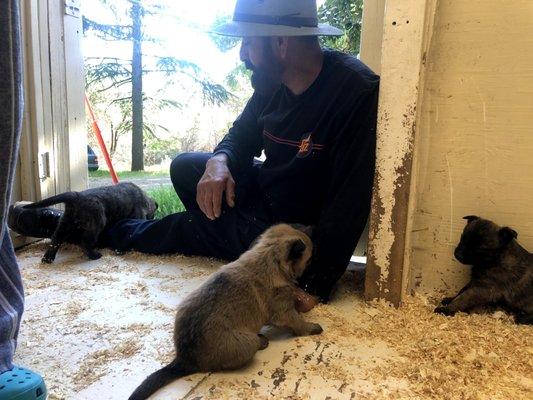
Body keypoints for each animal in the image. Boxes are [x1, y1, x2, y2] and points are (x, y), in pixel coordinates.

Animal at [23, 181, 156, 262]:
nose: (152, 217)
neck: (145, 200)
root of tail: (76, 196)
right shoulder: (139, 214)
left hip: (65, 223)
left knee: (56, 239)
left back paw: (48, 258)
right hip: (96, 223)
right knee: (84, 242)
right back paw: (94, 255)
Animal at [129, 225, 322, 400]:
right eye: (310, 260)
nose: (313, 278)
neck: (269, 257)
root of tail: (184, 359)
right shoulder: (284, 312)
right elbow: (298, 322)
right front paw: (311, 327)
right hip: (247, 343)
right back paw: (261, 341)